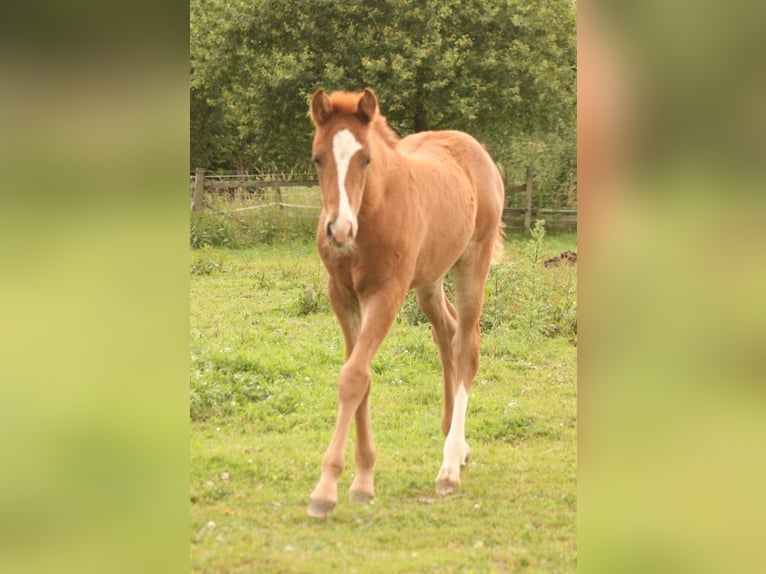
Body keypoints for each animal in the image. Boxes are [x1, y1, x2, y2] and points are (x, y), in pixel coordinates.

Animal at [308, 88, 508, 520]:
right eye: (317, 158)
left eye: (366, 158)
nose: (339, 229)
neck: (372, 212)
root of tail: (474, 148)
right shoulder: (342, 295)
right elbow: (360, 375)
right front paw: (363, 480)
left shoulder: (387, 294)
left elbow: (354, 376)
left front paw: (327, 489)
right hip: (430, 278)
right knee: (446, 334)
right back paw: (457, 444)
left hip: (473, 262)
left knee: (466, 346)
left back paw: (449, 467)